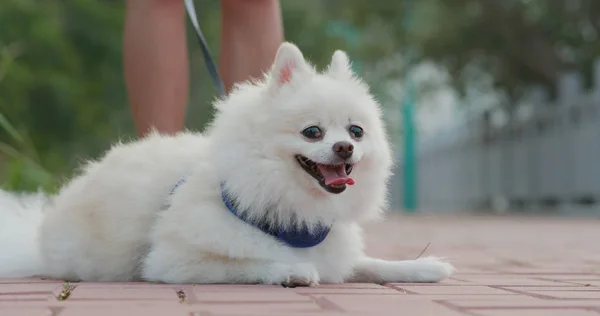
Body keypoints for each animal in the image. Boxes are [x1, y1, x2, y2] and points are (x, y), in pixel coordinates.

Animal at [0, 42, 452, 286]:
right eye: (313, 132)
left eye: (356, 132)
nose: (344, 148)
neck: (290, 210)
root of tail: (40, 233)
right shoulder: (174, 262)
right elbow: (251, 262)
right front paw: (292, 270)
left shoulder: (334, 251)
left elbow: (372, 264)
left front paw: (423, 266)